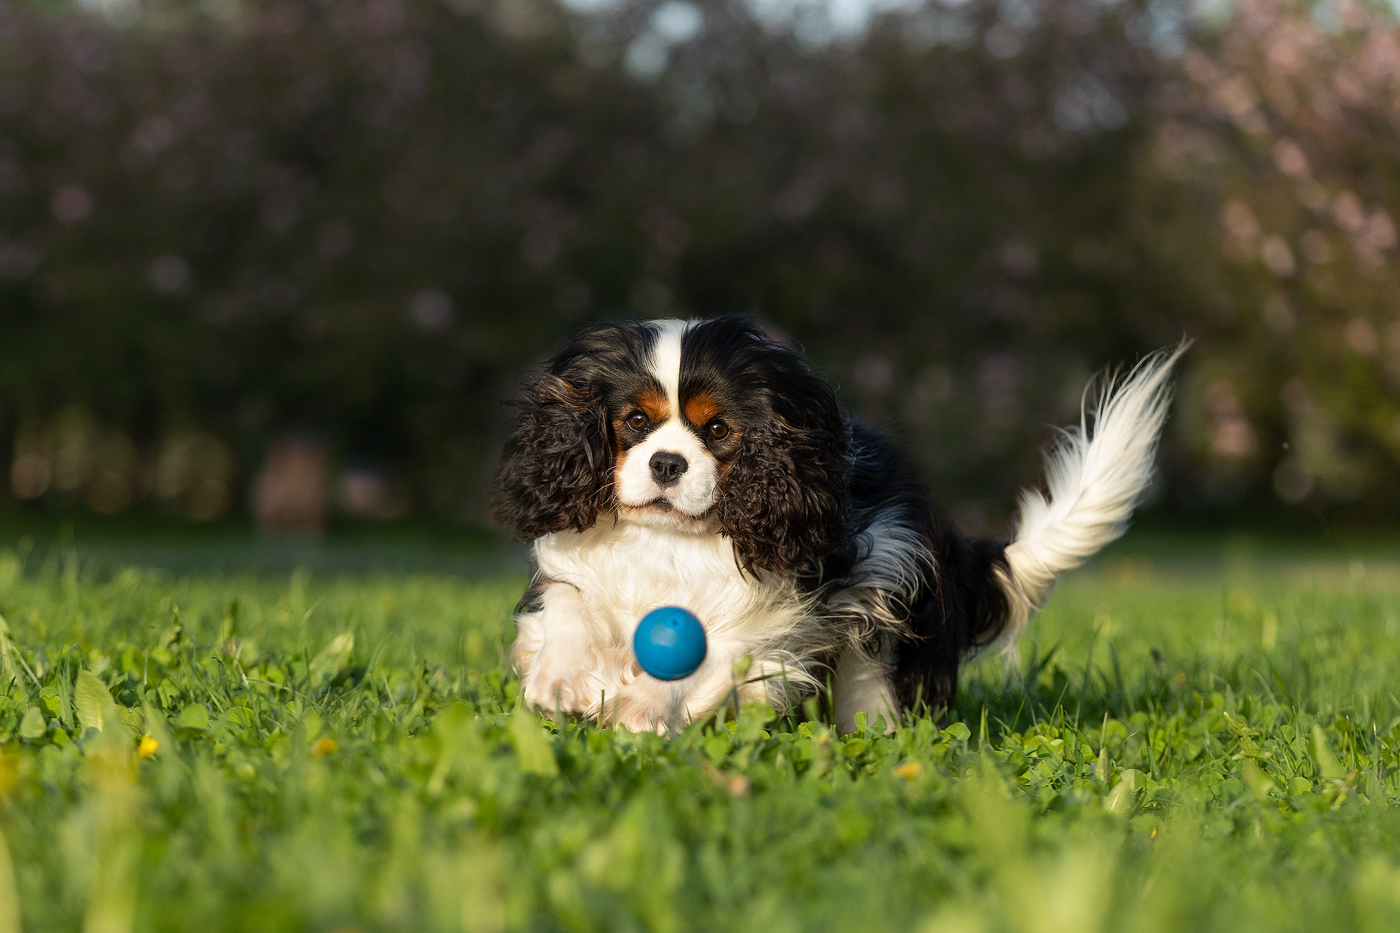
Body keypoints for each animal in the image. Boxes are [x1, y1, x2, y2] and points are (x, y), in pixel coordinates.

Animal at [492, 316, 1181, 728]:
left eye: (718, 431)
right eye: (635, 421)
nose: (667, 463)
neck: (671, 540)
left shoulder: (768, 620)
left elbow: (702, 659)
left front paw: (639, 708)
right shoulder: (579, 570)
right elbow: (569, 605)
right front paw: (559, 680)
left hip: (889, 600)